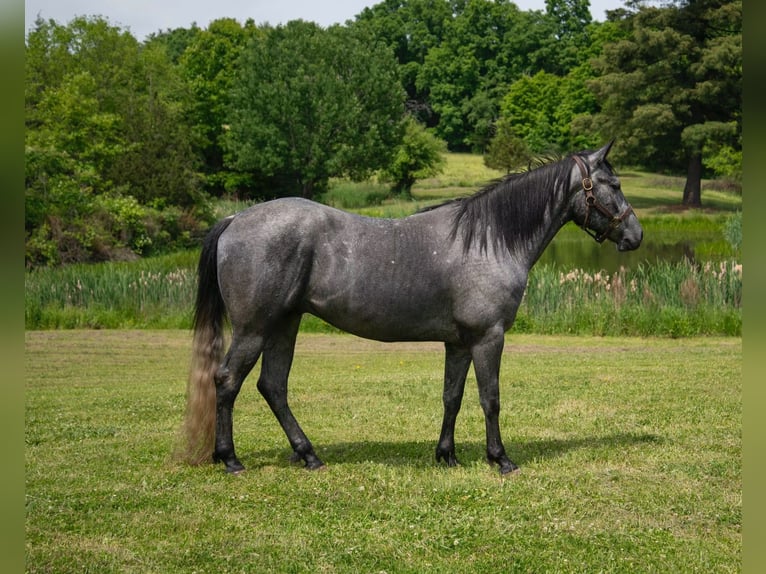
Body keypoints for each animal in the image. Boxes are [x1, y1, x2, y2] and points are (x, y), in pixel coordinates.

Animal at [178, 141, 642, 475]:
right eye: (614, 185)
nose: (635, 235)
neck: (490, 239)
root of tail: (235, 219)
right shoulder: (488, 338)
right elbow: (490, 398)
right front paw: (500, 459)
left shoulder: (459, 343)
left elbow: (452, 396)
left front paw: (447, 455)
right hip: (254, 328)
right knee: (228, 381)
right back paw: (230, 459)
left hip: (284, 325)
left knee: (273, 386)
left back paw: (308, 455)